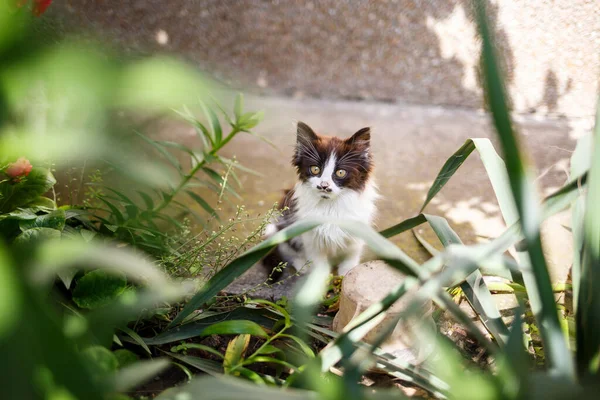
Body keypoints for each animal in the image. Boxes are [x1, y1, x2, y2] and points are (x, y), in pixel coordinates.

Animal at [262, 120, 378, 280]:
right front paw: (318, 281)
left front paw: (347, 273)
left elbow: (351, 255)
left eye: (340, 172)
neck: (330, 206)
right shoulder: (310, 237)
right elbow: (318, 262)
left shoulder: (356, 231)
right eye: (315, 169)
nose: (324, 185)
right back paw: (301, 265)